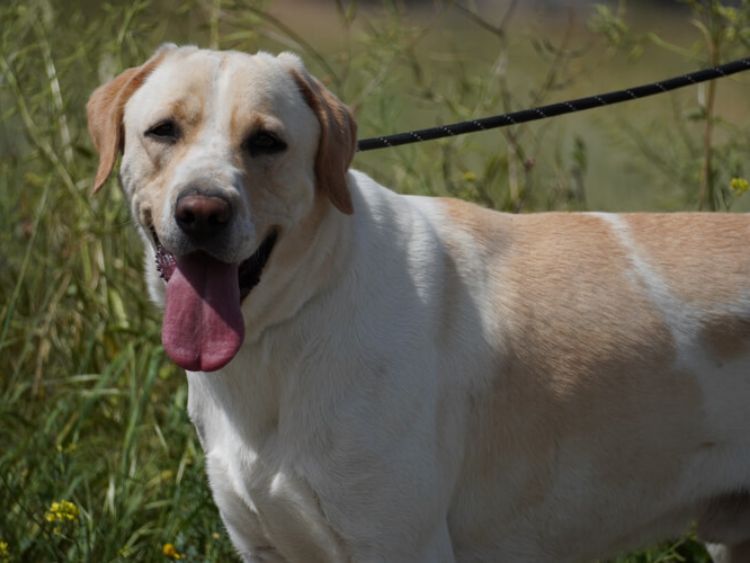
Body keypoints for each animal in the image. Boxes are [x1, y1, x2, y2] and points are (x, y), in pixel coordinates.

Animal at [89, 45, 750, 563]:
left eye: (266, 142)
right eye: (163, 131)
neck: (289, 328)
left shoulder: (397, 544)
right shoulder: (266, 545)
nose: (202, 212)